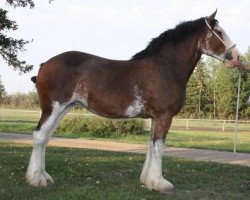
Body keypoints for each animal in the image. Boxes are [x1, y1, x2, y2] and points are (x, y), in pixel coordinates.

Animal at [26, 10, 242, 193]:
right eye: (219, 32)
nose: (236, 57)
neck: (167, 66)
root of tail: (45, 64)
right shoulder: (164, 116)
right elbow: (159, 147)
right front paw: (160, 183)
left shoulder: (156, 117)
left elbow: (151, 146)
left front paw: (148, 180)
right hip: (53, 109)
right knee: (39, 137)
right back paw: (37, 179)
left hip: (63, 109)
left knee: (45, 138)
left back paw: (42, 176)